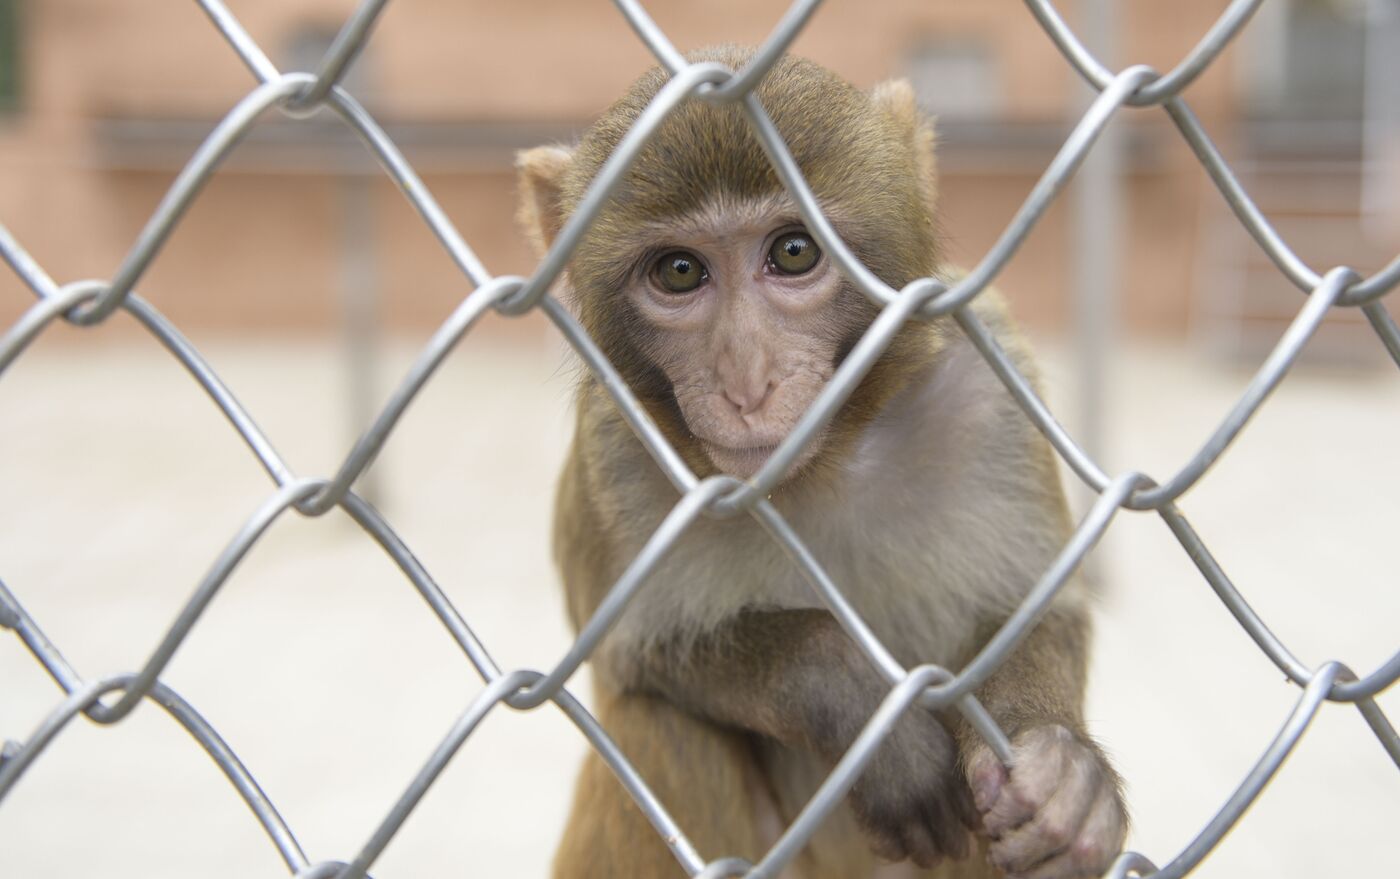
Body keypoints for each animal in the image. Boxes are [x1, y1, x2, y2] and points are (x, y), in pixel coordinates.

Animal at [515, 46, 1125, 879]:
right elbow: (630, 660)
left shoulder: (992, 387)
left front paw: (1064, 772)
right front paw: (862, 709)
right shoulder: (614, 449)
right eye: (678, 272)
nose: (747, 381)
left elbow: (1038, 609)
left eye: (794, 252)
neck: (824, 463)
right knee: (663, 727)